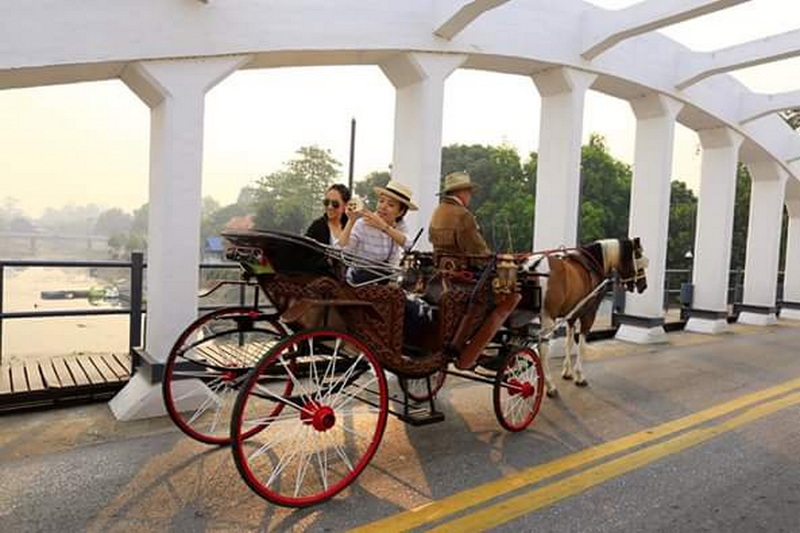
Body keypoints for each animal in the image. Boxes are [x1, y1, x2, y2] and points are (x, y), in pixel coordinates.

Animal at [520, 237, 648, 394]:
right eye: (638, 256)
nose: (644, 285)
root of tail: (531, 266)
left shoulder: (572, 315)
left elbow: (569, 341)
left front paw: (567, 371)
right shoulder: (589, 314)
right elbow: (581, 344)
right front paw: (579, 375)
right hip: (547, 317)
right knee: (542, 347)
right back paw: (549, 385)